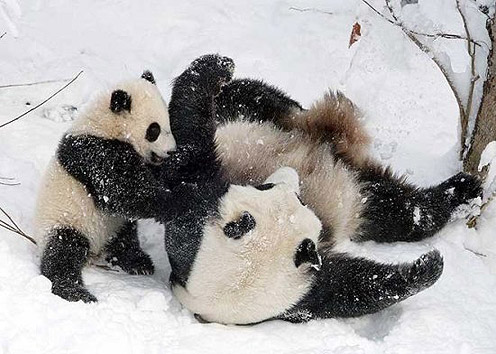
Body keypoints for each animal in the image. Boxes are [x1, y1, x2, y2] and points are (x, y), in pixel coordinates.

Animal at [34, 71, 176, 302]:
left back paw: (138, 262)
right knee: (63, 253)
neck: (104, 125)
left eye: (168, 124)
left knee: (125, 239)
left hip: (115, 224)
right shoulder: (96, 153)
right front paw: (183, 200)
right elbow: (125, 192)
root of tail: (96, 249)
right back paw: (74, 291)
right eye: (153, 130)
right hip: (63, 222)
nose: (171, 151)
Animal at [158, 54, 480, 324]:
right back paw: (456, 197)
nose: (292, 176)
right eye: (294, 198)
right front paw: (423, 267)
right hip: (358, 199)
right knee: (398, 211)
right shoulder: (301, 294)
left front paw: (215, 68)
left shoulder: (198, 205)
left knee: (252, 95)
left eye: (264, 185)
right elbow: (355, 289)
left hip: (260, 118)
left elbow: (190, 147)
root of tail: (327, 144)